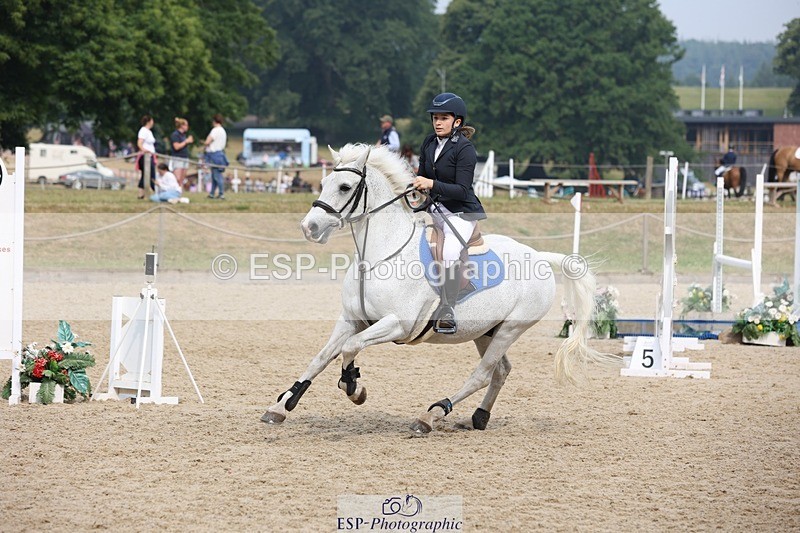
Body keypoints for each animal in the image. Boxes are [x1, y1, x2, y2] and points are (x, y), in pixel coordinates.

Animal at [260, 143, 619, 433]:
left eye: (345, 186)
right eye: (323, 184)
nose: (309, 227)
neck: (378, 255)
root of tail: (540, 256)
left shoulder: (397, 324)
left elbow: (350, 349)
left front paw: (354, 388)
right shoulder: (351, 319)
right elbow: (320, 357)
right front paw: (281, 405)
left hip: (511, 329)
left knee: (482, 374)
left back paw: (431, 415)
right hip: (486, 330)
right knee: (501, 371)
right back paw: (479, 417)